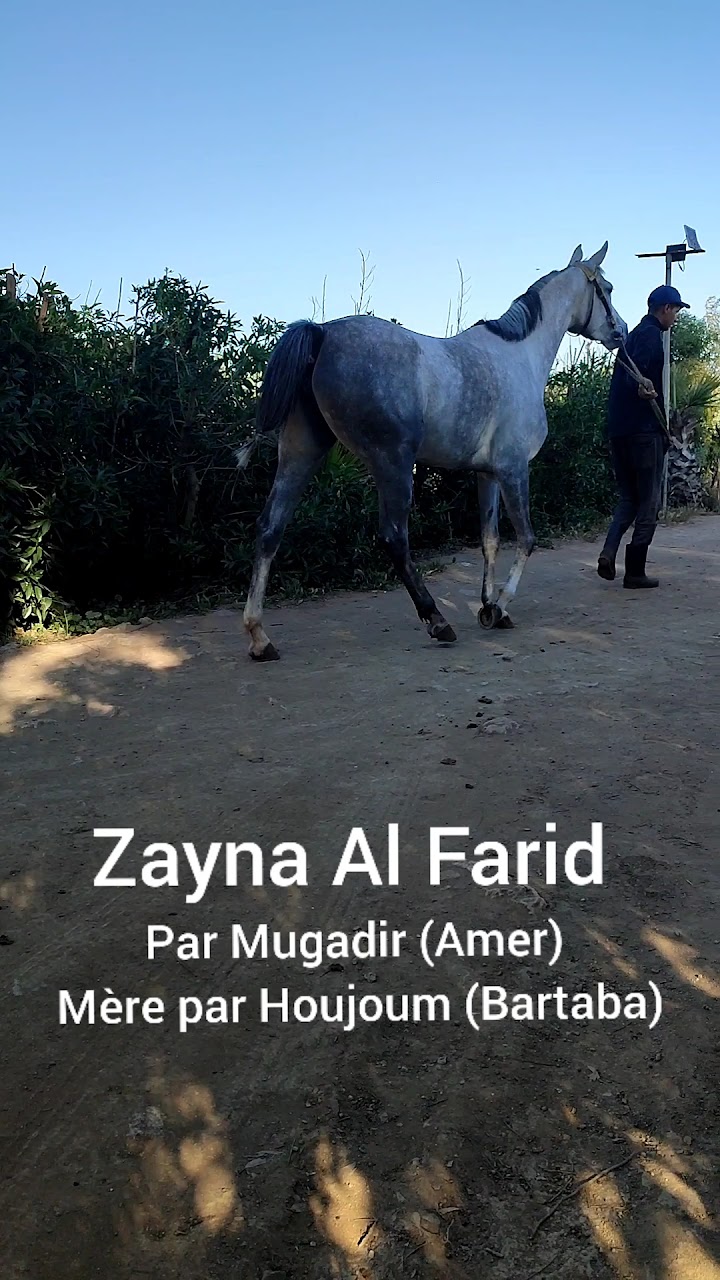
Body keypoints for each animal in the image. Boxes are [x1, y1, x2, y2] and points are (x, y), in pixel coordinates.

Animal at [238, 242, 627, 661]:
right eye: (607, 288)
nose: (620, 332)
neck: (519, 357)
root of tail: (322, 332)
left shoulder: (487, 474)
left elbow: (489, 540)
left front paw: (489, 608)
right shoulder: (513, 469)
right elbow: (526, 538)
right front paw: (501, 605)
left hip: (301, 453)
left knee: (270, 528)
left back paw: (259, 637)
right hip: (392, 462)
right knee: (394, 537)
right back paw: (438, 621)